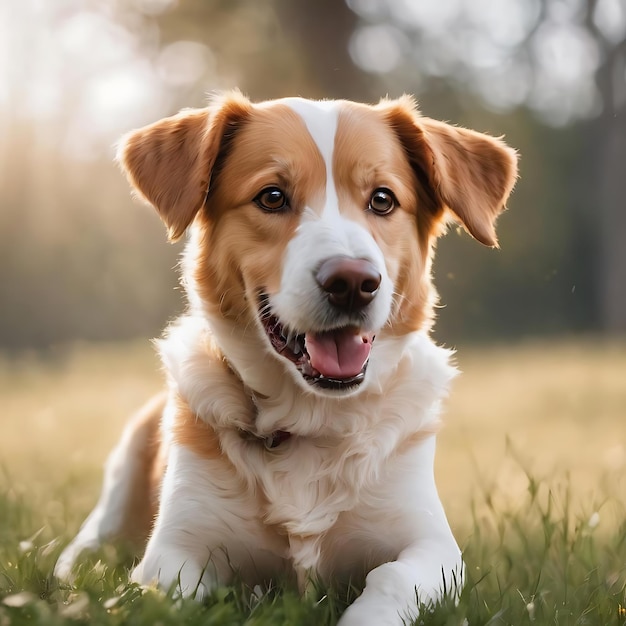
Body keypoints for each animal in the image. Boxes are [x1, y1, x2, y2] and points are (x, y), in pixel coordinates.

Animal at [53, 90, 516, 620]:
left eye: (382, 199)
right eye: (272, 197)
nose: (352, 282)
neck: (313, 416)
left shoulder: (432, 547)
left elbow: (390, 579)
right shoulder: (173, 551)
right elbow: (176, 596)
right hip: (116, 494)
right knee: (83, 557)